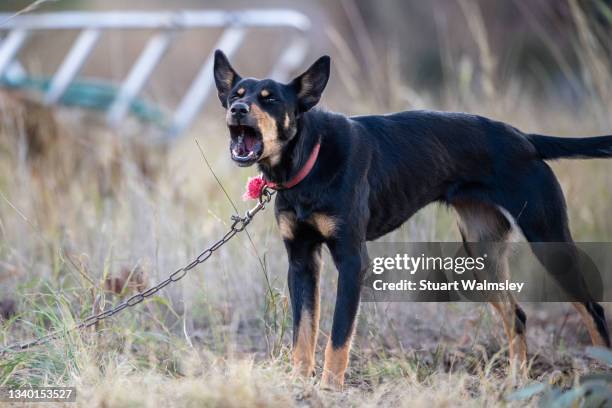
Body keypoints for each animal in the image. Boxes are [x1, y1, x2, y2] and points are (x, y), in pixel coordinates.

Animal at [214, 50, 612, 388]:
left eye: (270, 99)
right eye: (236, 93)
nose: (237, 109)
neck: (308, 160)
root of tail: (526, 140)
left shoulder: (352, 261)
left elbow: (338, 336)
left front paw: (329, 388)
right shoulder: (301, 261)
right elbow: (303, 333)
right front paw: (299, 384)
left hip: (548, 240)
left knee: (592, 310)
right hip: (482, 254)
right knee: (517, 315)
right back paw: (516, 382)